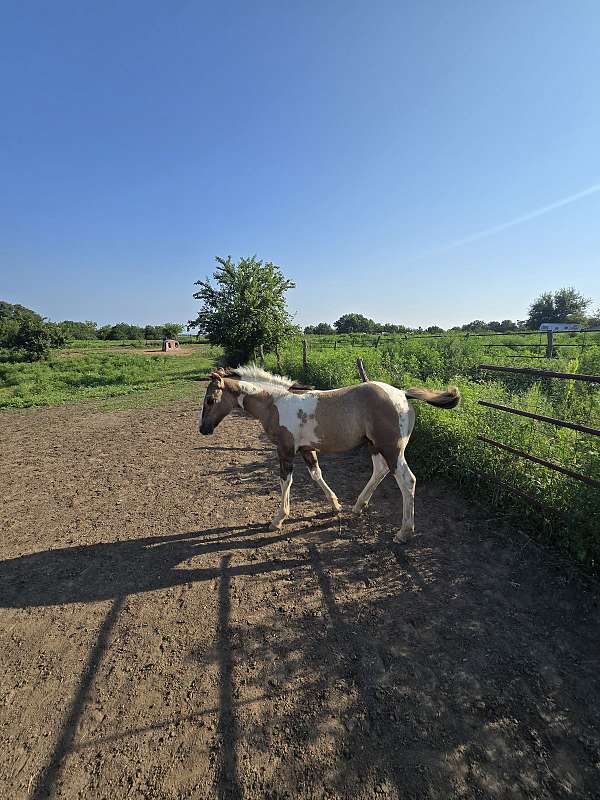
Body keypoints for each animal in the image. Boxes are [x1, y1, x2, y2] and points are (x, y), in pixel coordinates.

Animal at [197, 365, 459, 542]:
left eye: (210, 400)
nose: (203, 429)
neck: (275, 403)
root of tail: (403, 394)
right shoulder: (306, 449)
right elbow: (316, 475)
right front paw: (335, 505)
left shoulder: (285, 450)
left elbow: (285, 481)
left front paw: (278, 519)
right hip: (373, 445)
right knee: (380, 470)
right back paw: (358, 506)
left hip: (391, 448)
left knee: (407, 480)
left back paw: (403, 532)